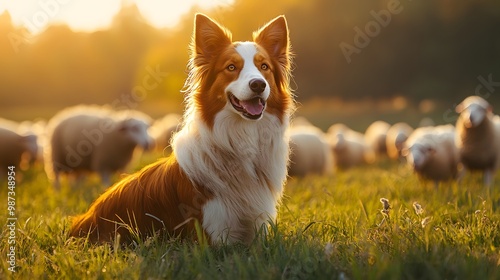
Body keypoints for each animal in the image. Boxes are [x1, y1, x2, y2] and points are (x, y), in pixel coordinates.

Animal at [69, 13, 294, 245]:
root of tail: (84, 218)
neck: (242, 136)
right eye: (231, 67)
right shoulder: (212, 236)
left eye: (264, 67)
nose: (258, 84)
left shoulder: (258, 229)